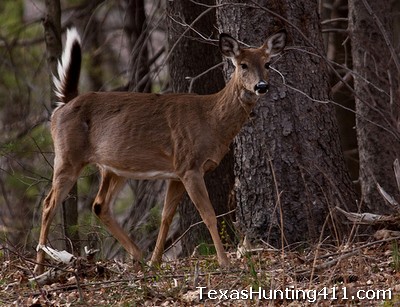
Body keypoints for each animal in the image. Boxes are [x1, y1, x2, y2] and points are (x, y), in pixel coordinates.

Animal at [33, 28, 284, 274]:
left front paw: (156, 261)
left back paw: (138, 256)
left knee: (99, 205)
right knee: (48, 204)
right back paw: (39, 266)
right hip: (67, 156)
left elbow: (166, 216)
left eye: (268, 63)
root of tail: (62, 106)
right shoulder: (190, 165)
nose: (262, 86)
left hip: (114, 167)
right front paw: (225, 262)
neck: (211, 120)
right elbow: (208, 215)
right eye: (243, 64)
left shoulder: (176, 172)